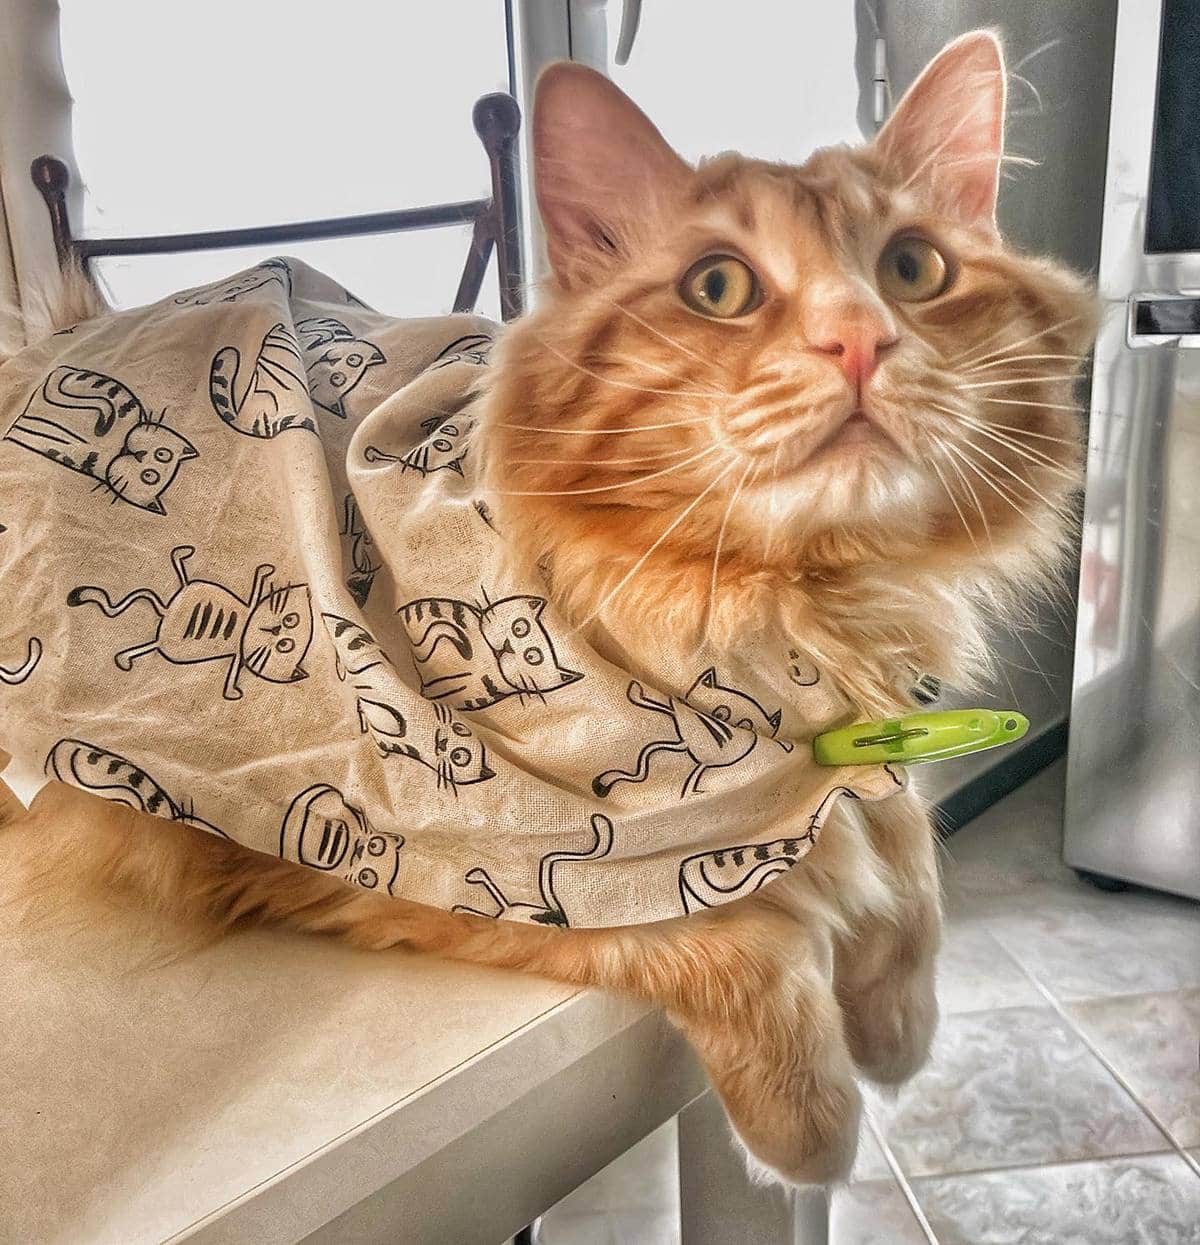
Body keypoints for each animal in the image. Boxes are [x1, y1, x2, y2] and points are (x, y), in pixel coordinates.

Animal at [4, 366, 198, 513]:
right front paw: (102, 422)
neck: (117, 448)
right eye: (162, 454)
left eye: (148, 476)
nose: (140, 455)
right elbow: (102, 404)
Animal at [67, 545, 313, 700]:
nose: (276, 628)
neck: (243, 630)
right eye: (291, 619)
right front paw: (264, 571)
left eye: (284, 645)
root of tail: (168, 611)